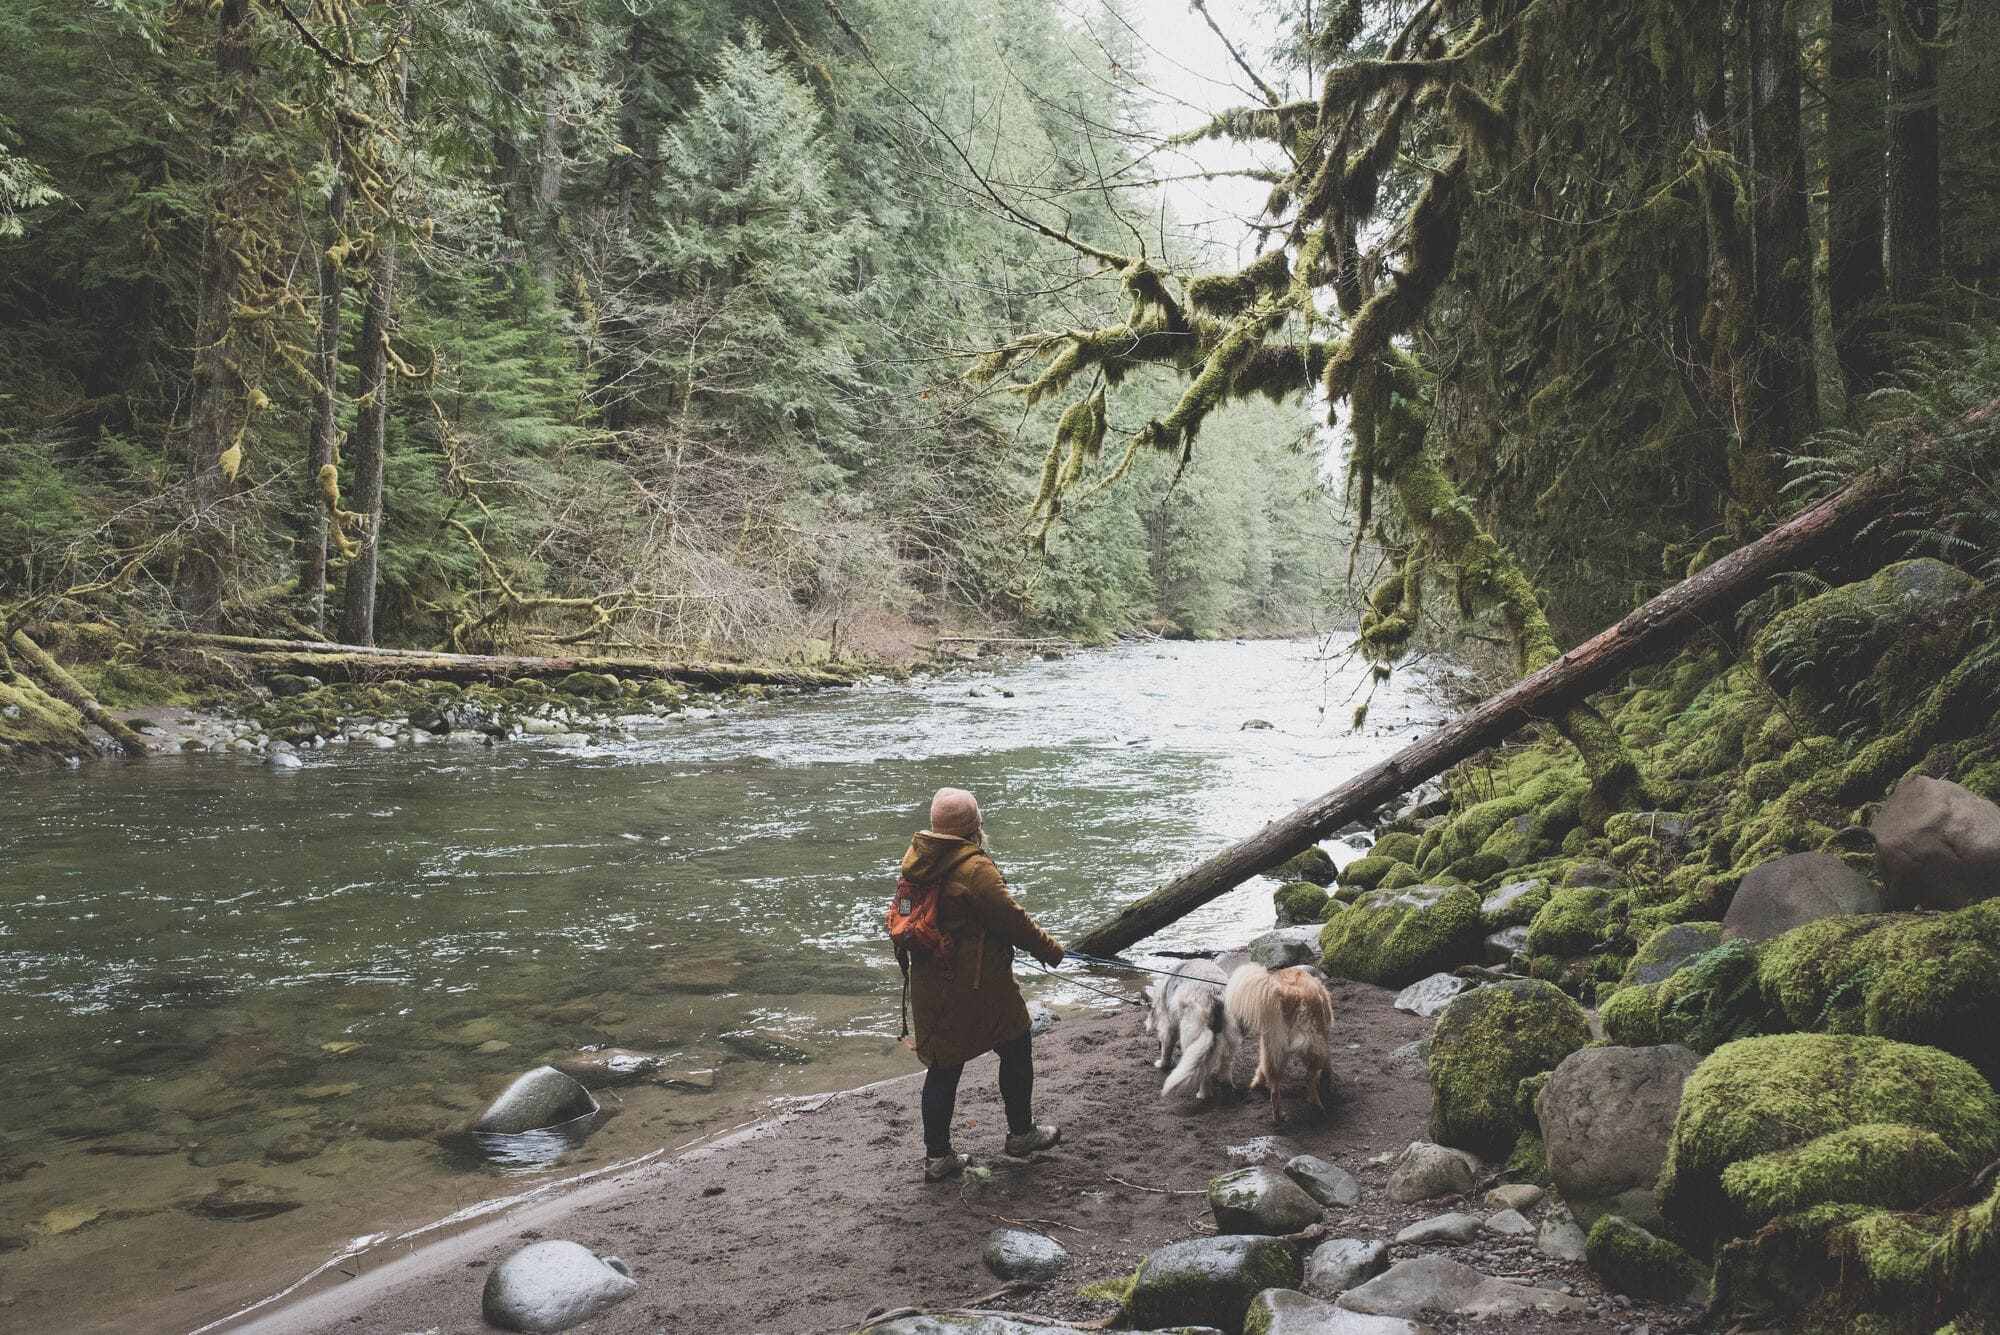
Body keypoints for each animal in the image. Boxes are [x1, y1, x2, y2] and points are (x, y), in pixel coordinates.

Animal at [1144, 963, 1232, 1103]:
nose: (1145, 1025)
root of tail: (1214, 998)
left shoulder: (1168, 1024)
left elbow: (1166, 1048)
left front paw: (1162, 1065)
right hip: (1230, 1036)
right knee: (1226, 1062)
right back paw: (1226, 1083)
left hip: (1192, 1037)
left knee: (1202, 1070)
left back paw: (1203, 1094)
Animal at [1224, 963, 1336, 1119]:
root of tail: (1290, 992)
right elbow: (1328, 1063)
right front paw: (1328, 1078)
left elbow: (1260, 1067)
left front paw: (1257, 1082)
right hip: (1316, 1045)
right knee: (1309, 1077)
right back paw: (1316, 1104)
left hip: (1272, 1047)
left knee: (1274, 1087)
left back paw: (1278, 1115)